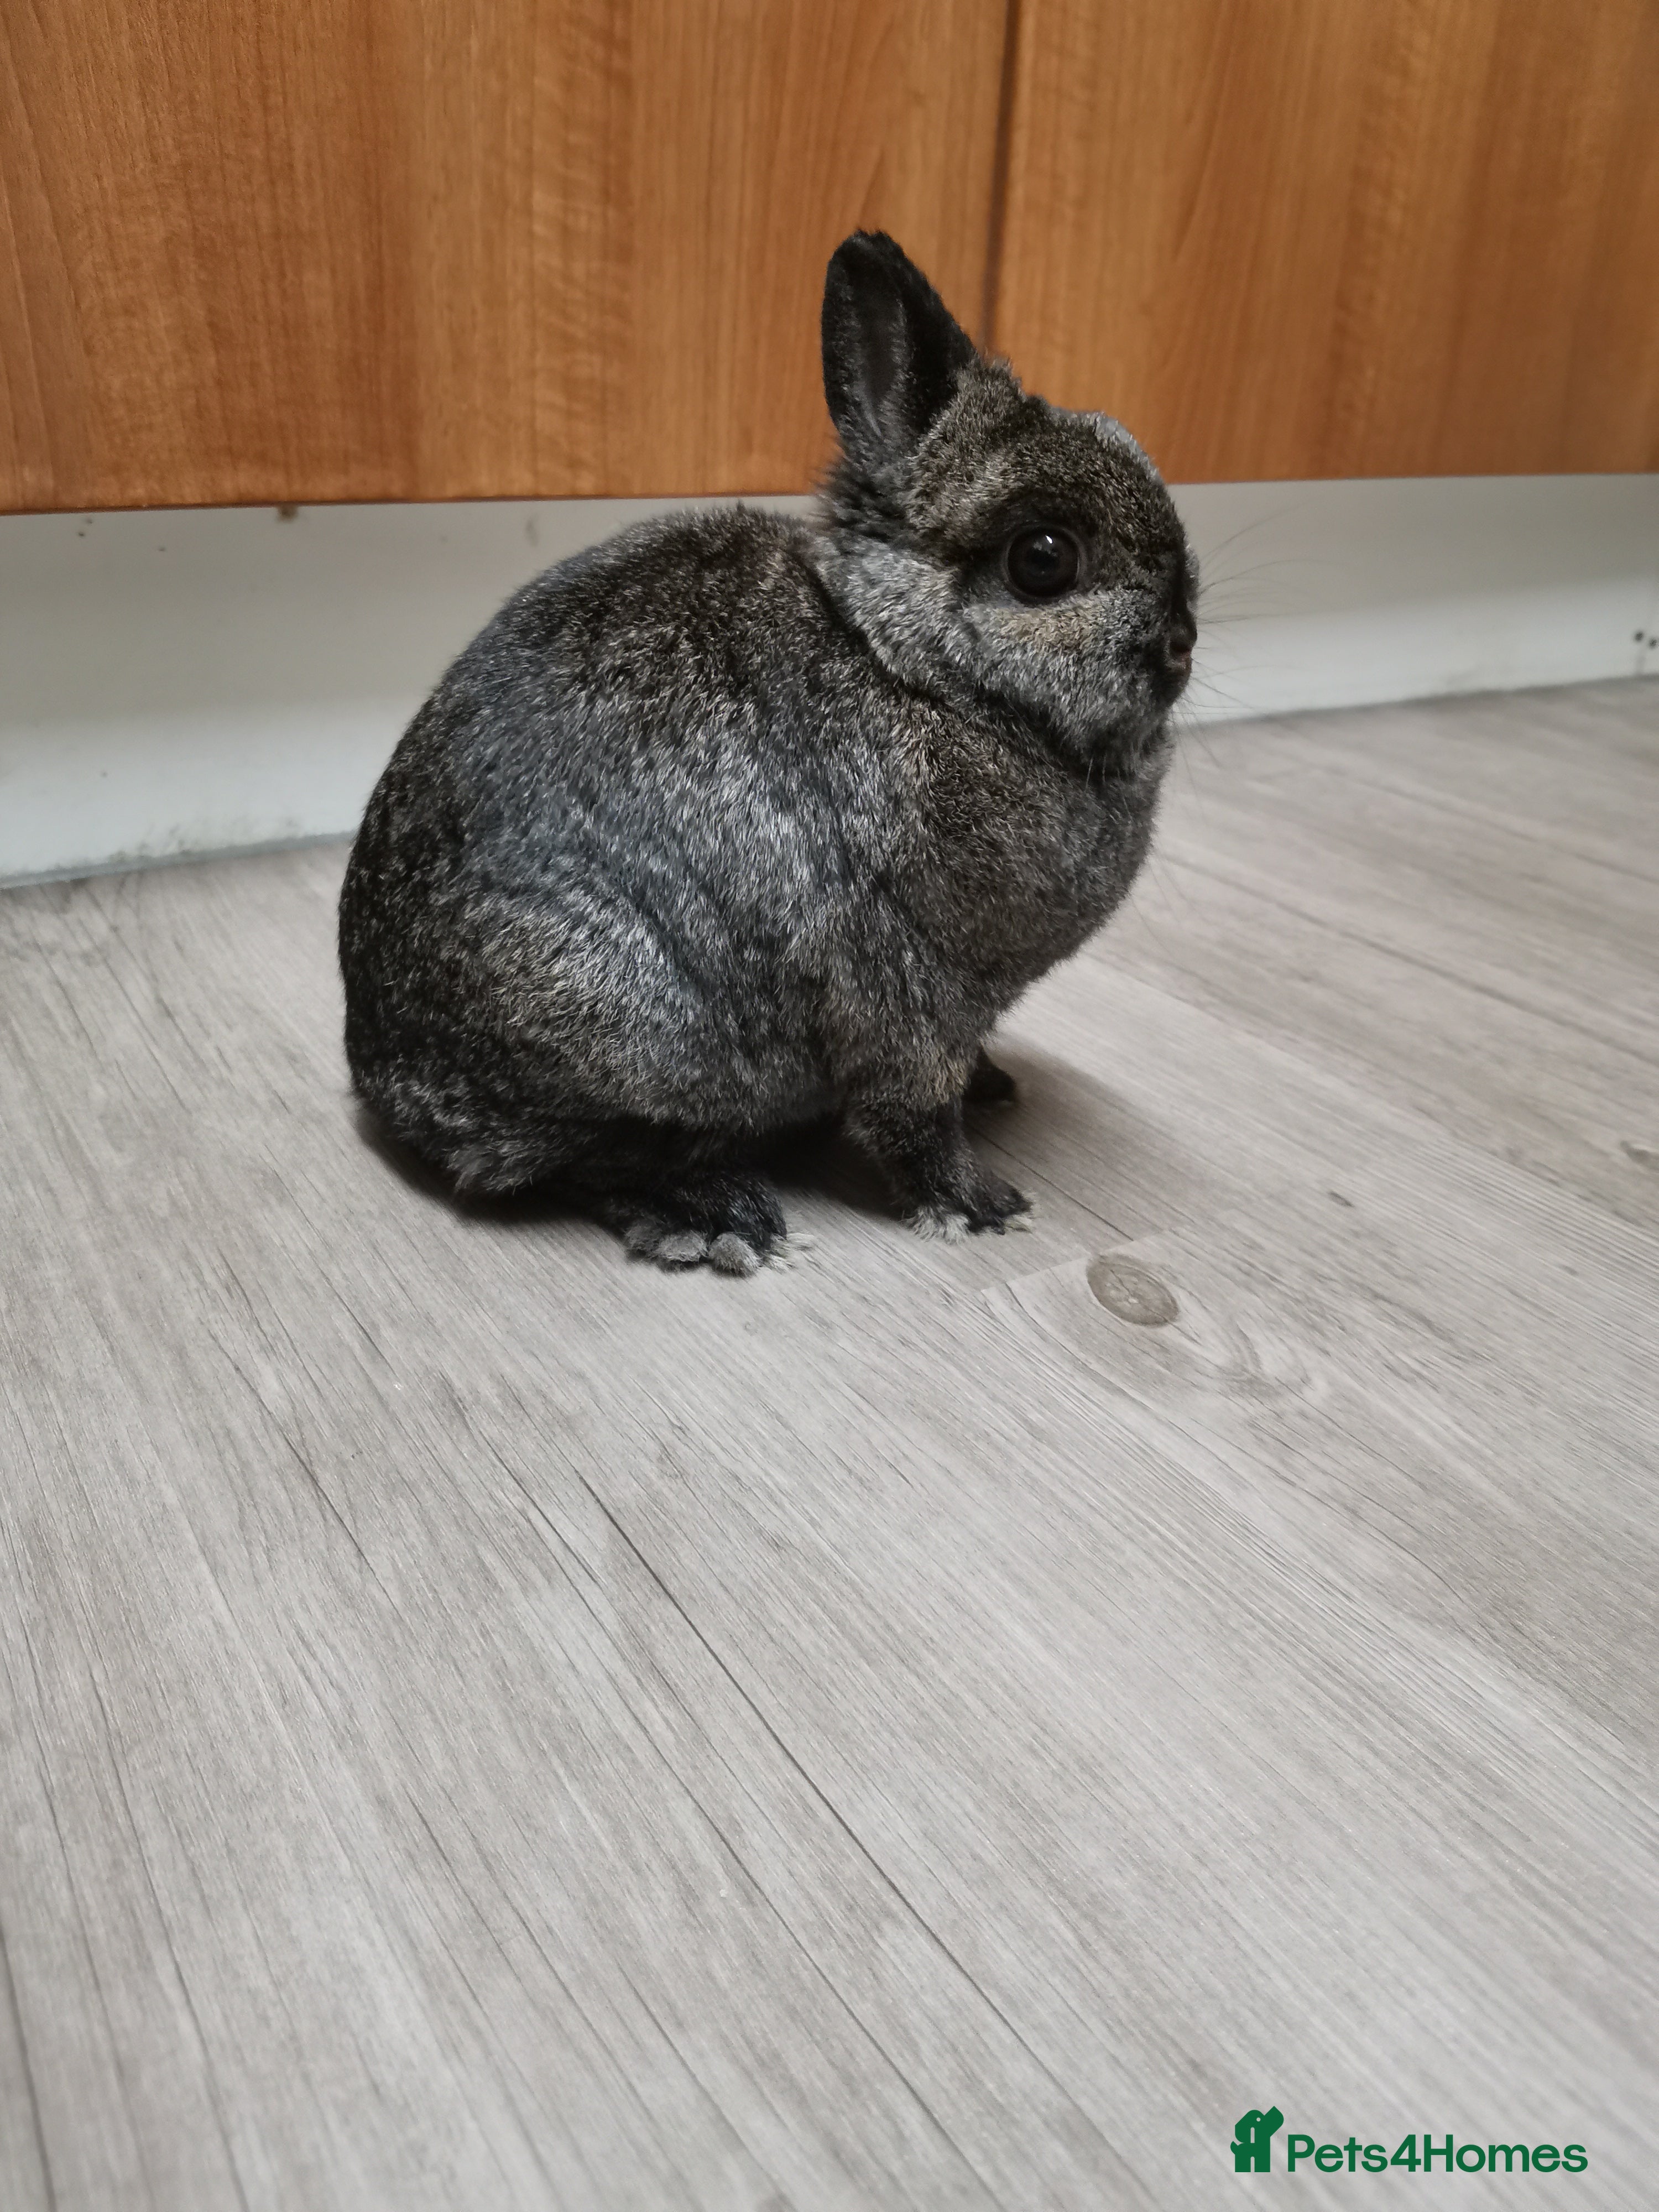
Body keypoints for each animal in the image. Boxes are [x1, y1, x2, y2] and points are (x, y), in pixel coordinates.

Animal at [338, 231, 1196, 1274]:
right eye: (1044, 558)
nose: (1183, 638)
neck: (914, 666)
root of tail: (384, 1077)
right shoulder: (903, 1000)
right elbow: (916, 1118)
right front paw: (982, 1205)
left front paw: (995, 1091)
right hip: (616, 1026)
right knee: (576, 1161)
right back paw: (716, 1217)